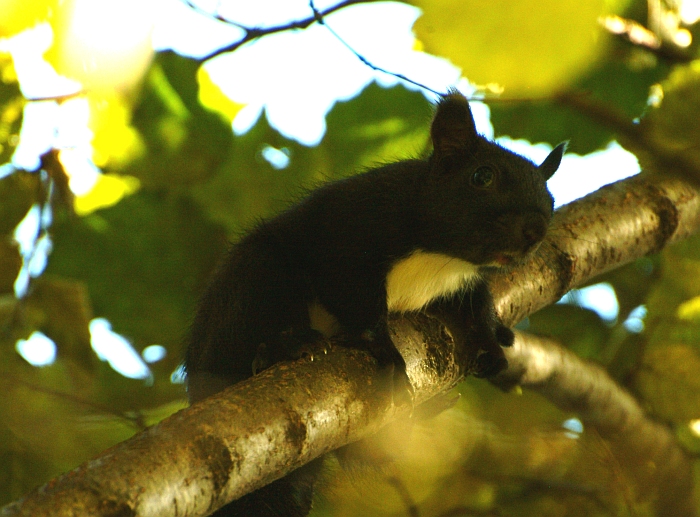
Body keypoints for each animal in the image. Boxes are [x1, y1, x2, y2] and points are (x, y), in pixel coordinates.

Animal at [185, 90, 564, 512]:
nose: (535, 229)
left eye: (550, 198)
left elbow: (478, 302)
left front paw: (488, 336)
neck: (441, 255)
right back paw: (286, 346)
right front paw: (384, 348)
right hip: (251, 284)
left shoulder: (462, 279)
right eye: (483, 176)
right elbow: (357, 299)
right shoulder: (350, 234)